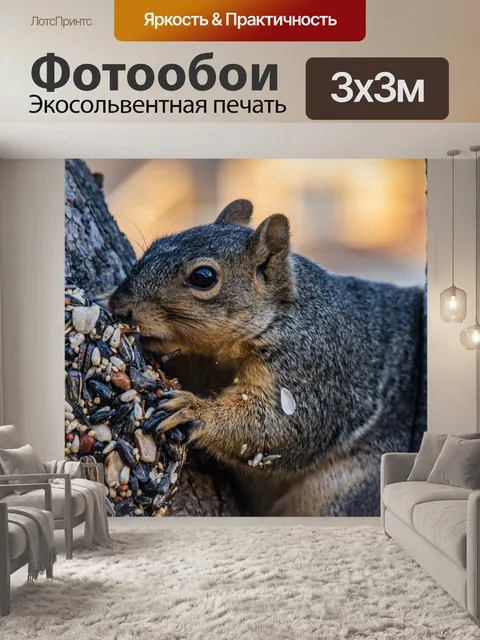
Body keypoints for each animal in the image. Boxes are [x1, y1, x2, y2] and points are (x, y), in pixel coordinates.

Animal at [109, 199, 426, 517]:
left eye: (203, 277)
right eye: (155, 245)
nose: (118, 306)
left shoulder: (313, 368)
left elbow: (283, 429)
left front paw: (194, 411)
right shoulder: (206, 361)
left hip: (342, 494)